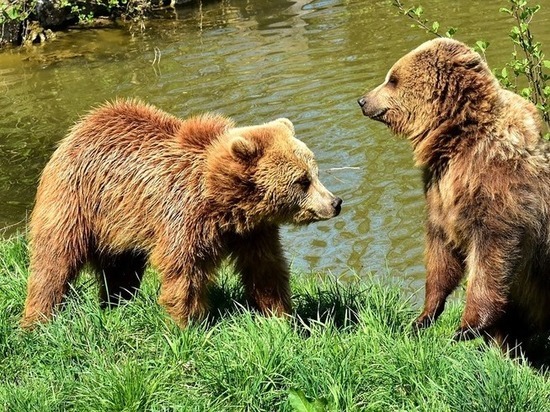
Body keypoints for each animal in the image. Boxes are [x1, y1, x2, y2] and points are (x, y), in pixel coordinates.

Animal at [23, 100, 342, 328]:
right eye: (302, 181)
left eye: (315, 172)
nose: (335, 202)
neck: (225, 204)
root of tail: (79, 128)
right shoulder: (183, 217)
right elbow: (184, 272)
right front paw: (186, 324)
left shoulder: (253, 232)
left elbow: (266, 269)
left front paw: (281, 317)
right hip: (75, 201)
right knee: (54, 261)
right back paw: (37, 321)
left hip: (119, 225)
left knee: (120, 269)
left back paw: (116, 303)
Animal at [358, 37, 550, 350]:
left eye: (392, 79)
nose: (363, 100)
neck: (456, 140)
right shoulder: (439, 191)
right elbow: (441, 252)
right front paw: (424, 316)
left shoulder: (498, 190)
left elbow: (491, 256)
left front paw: (466, 328)